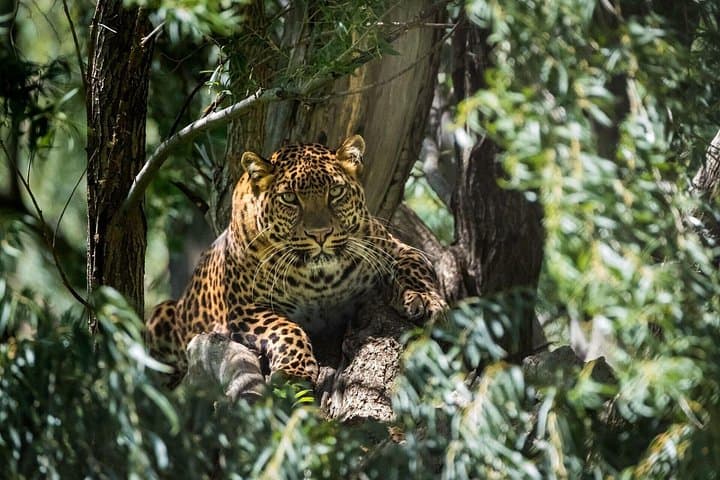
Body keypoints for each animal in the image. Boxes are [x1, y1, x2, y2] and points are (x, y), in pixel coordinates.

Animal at [146, 135, 446, 386]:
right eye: (290, 198)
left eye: (335, 192)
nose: (320, 234)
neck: (320, 278)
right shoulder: (244, 308)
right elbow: (286, 328)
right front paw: (295, 371)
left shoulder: (396, 248)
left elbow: (414, 267)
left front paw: (424, 299)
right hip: (162, 316)